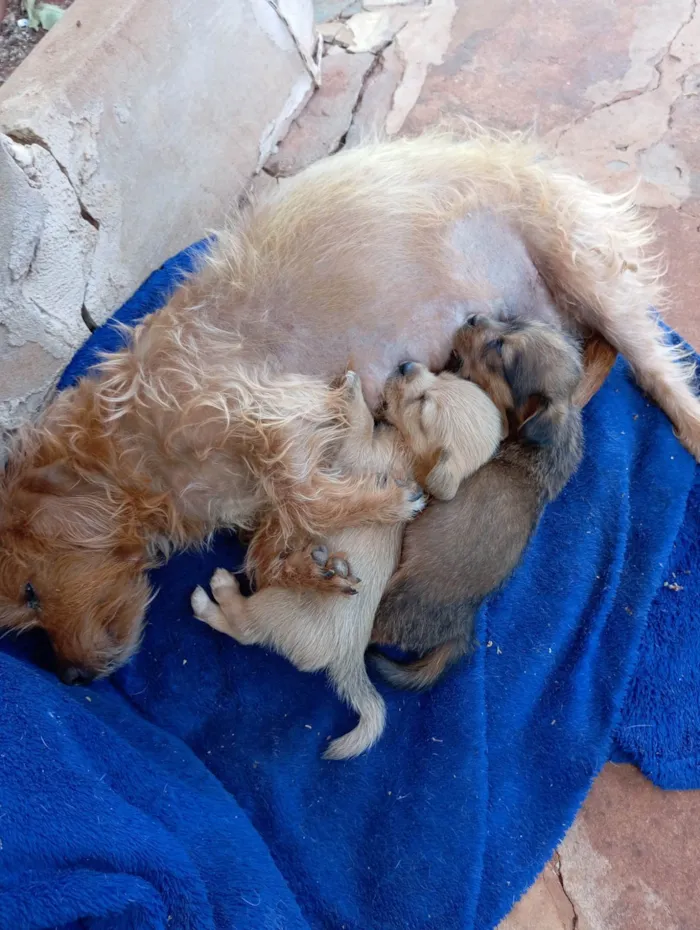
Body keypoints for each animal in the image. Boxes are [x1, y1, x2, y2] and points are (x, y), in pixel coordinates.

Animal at [189, 366, 500, 756]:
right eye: (443, 376)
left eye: (422, 404)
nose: (406, 366)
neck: (409, 453)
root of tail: (349, 659)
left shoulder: (359, 454)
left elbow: (360, 427)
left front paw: (353, 393)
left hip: (276, 605)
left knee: (244, 628)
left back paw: (214, 594)